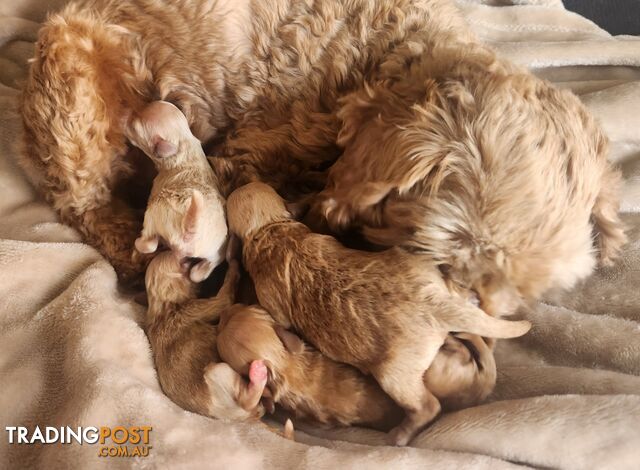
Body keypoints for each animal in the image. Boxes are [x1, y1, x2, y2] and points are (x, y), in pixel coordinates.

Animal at [127, 100, 228, 280]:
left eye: (134, 127)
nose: (126, 116)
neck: (183, 143)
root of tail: (190, 232)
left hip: (155, 213)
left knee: (149, 243)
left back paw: (139, 242)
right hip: (216, 250)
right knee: (200, 272)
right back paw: (195, 269)